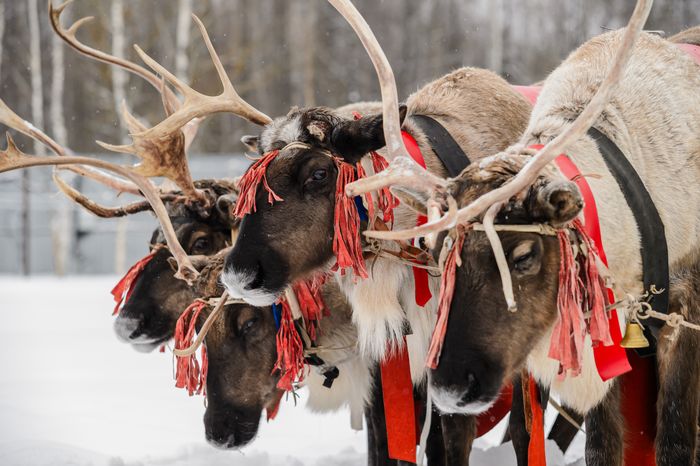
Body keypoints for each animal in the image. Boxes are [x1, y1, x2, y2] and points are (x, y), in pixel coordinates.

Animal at [344, 0, 700, 463]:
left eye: (525, 255)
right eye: (437, 254)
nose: (451, 386)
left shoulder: (684, 313)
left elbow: (675, 443)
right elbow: (602, 447)